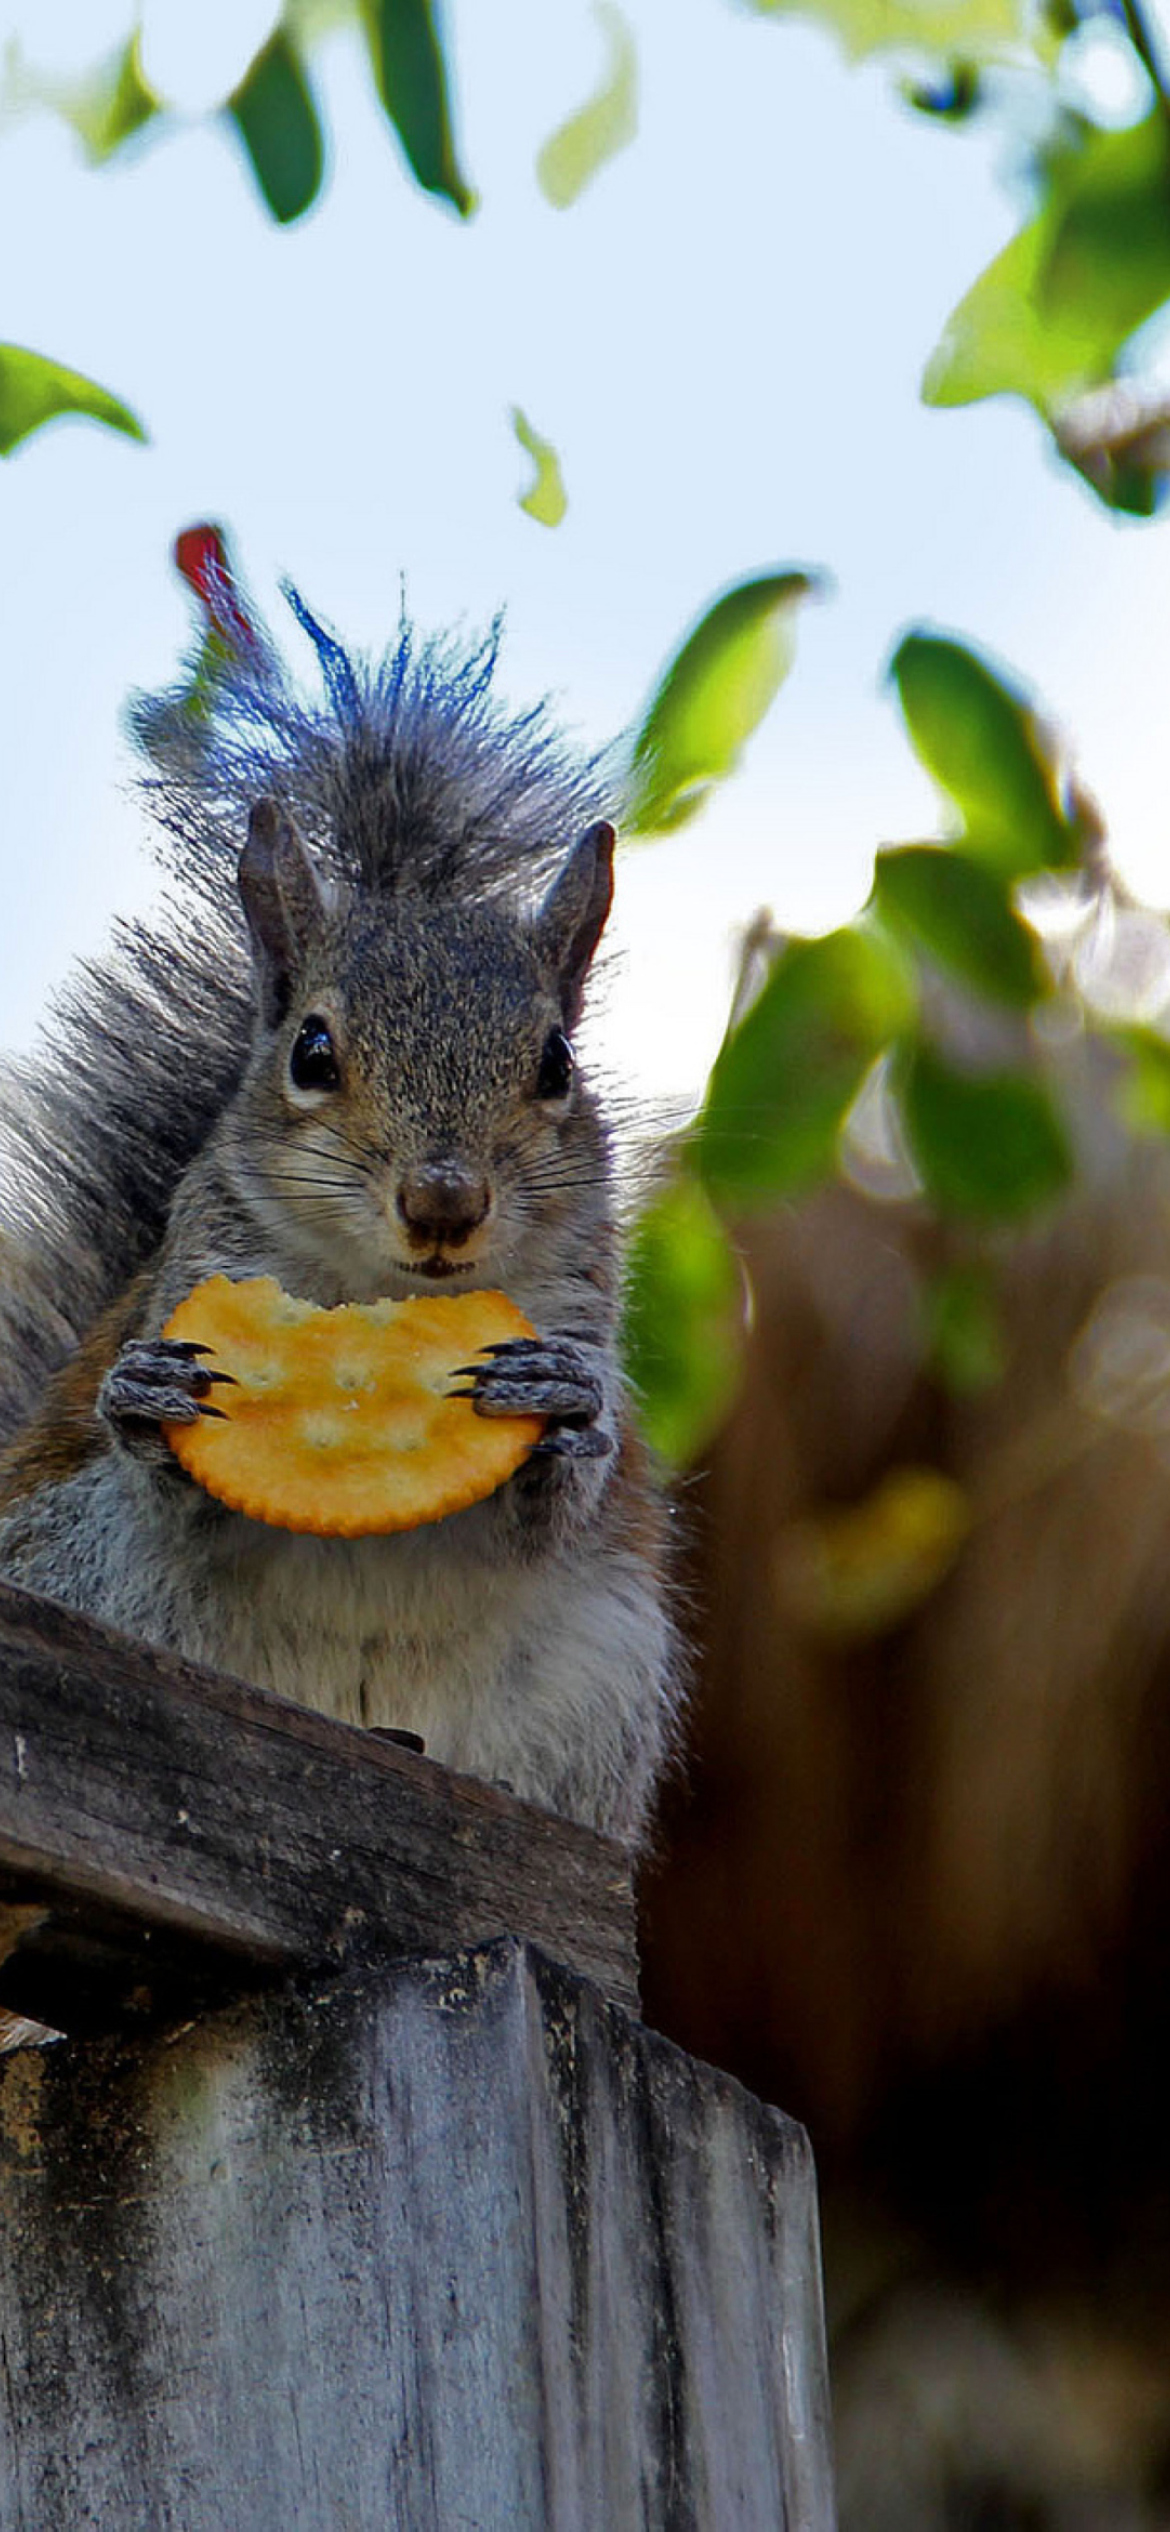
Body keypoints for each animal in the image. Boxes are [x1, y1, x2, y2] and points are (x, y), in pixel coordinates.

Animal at [0, 579, 678, 1843]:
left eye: (556, 1064)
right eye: (311, 1052)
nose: (445, 1201)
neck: (380, 1290)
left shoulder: (583, 1301)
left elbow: (566, 1497)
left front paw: (560, 1413)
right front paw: (152, 1403)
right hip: (70, 1559)